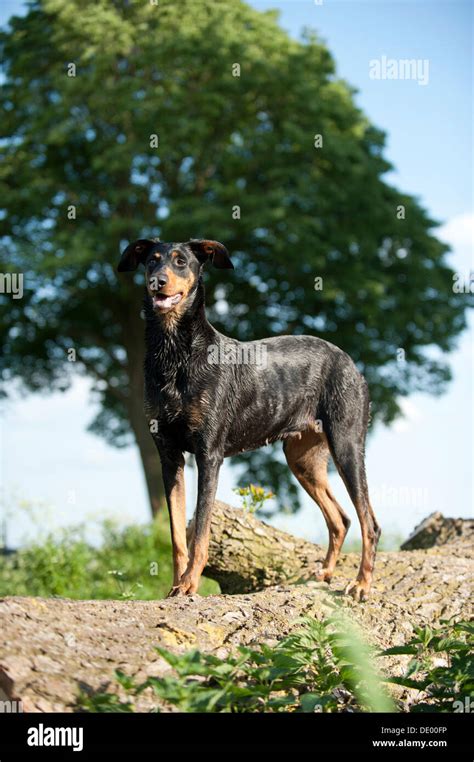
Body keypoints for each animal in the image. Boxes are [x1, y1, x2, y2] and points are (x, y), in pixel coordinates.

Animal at [118, 238, 382, 600]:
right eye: (151, 261)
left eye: (181, 262)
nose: (156, 282)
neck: (175, 352)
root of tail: (350, 362)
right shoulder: (169, 456)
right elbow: (176, 535)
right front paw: (175, 586)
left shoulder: (209, 455)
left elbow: (200, 531)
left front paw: (189, 584)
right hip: (302, 458)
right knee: (340, 519)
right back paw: (325, 573)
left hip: (347, 445)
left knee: (370, 522)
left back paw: (361, 584)